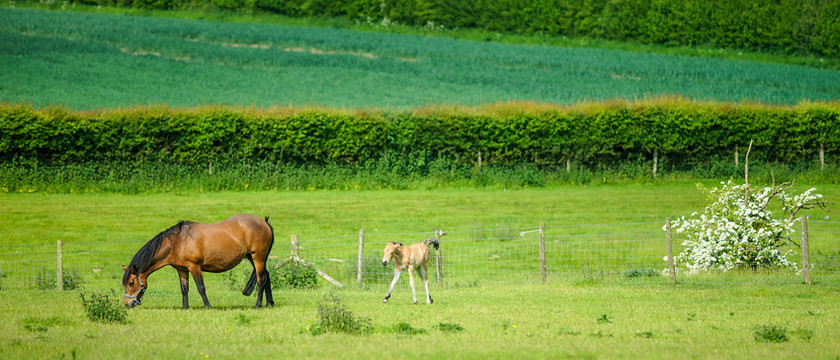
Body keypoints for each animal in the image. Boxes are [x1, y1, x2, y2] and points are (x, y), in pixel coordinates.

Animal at [122, 214, 276, 310]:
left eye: (131, 283)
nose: (127, 303)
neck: (177, 241)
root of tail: (265, 222)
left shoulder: (194, 267)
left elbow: (201, 288)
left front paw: (208, 306)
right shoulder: (181, 269)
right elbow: (184, 289)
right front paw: (184, 307)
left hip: (258, 258)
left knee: (261, 280)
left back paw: (257, 305)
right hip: (253, 258)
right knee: (266, 277)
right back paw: (269, 303)